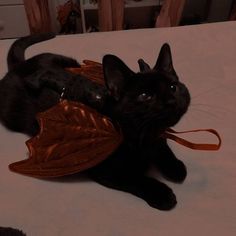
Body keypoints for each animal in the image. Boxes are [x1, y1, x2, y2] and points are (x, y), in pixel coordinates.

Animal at [0, 33, 190, 210]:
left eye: (173, 87)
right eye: (145, 96)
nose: (171, 101)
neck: (142, 136)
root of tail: (19, 66)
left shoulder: (157, 136)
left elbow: (163, 147)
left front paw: (175, 167)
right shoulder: (107, 169)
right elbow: (136, 178)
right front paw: (161, 193)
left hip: (70, 62)